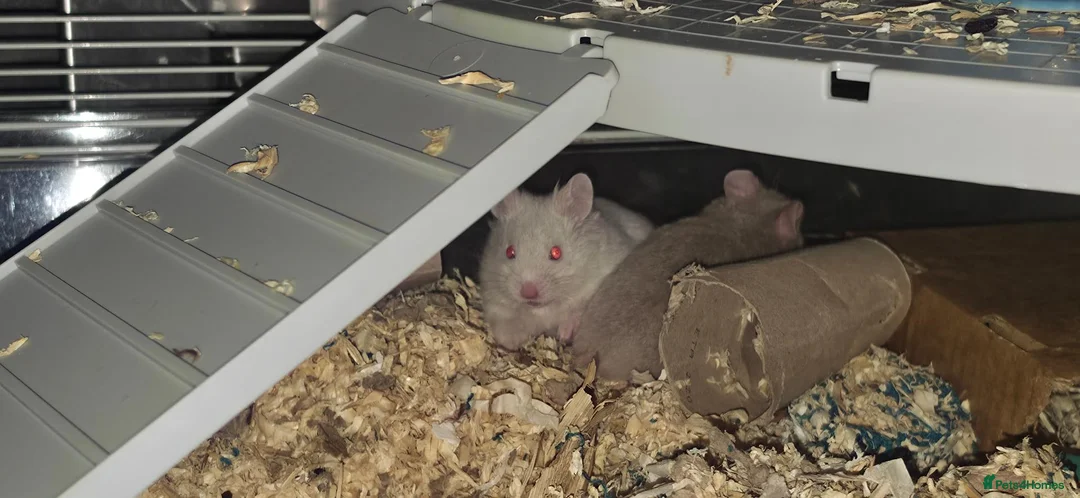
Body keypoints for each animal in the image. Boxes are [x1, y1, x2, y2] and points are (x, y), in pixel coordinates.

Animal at [479, 173, 654, 351]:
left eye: (556, 253)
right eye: (509, 252)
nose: (528, 293)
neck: (546, 307)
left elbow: (579, 307)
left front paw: (564, 334)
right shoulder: (492, 293)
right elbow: (502, 318)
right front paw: (511, 343)